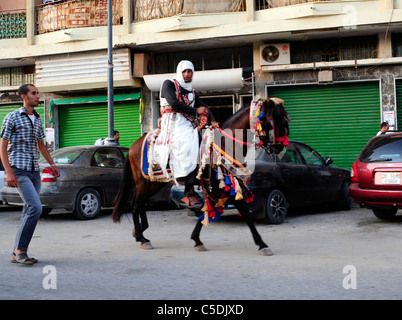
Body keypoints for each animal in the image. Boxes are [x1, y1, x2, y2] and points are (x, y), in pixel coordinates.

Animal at [112, 99, 288, 256]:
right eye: (269, 123)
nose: (279, 147)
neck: (225, 144)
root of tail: (134, 145)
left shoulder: (221, 187)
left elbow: (207, 210)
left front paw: (196, 239)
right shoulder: (224, 186)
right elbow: (245, 213)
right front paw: (262, 244)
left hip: (154, 183)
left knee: (140, 204)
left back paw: (140, 232)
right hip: (144, 182)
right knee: (135, 205)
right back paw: (141, 238)